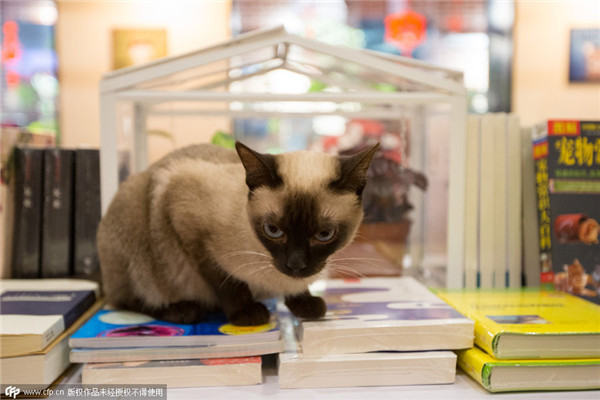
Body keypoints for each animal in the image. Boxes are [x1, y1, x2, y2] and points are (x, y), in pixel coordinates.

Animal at [99, 142, 378, 326]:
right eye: (273, 230)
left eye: (324, 234)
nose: (295, 265)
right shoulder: (189, 225)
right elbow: (227, 281)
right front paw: (247, 313)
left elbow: (298, 290)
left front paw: (304, 304)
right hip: (133, 214)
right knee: (124, 299)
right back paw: (183, 311)